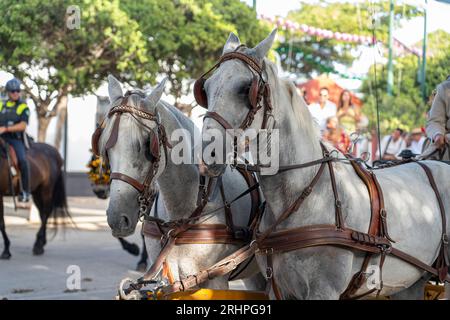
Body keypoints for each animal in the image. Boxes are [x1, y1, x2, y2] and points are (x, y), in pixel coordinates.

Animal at [201, 30, 450, 300]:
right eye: (206, 88)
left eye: (246, 88)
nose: (206, 153)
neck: (302, 194)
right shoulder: (279, 287)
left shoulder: (324, 291)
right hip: (411, 282)